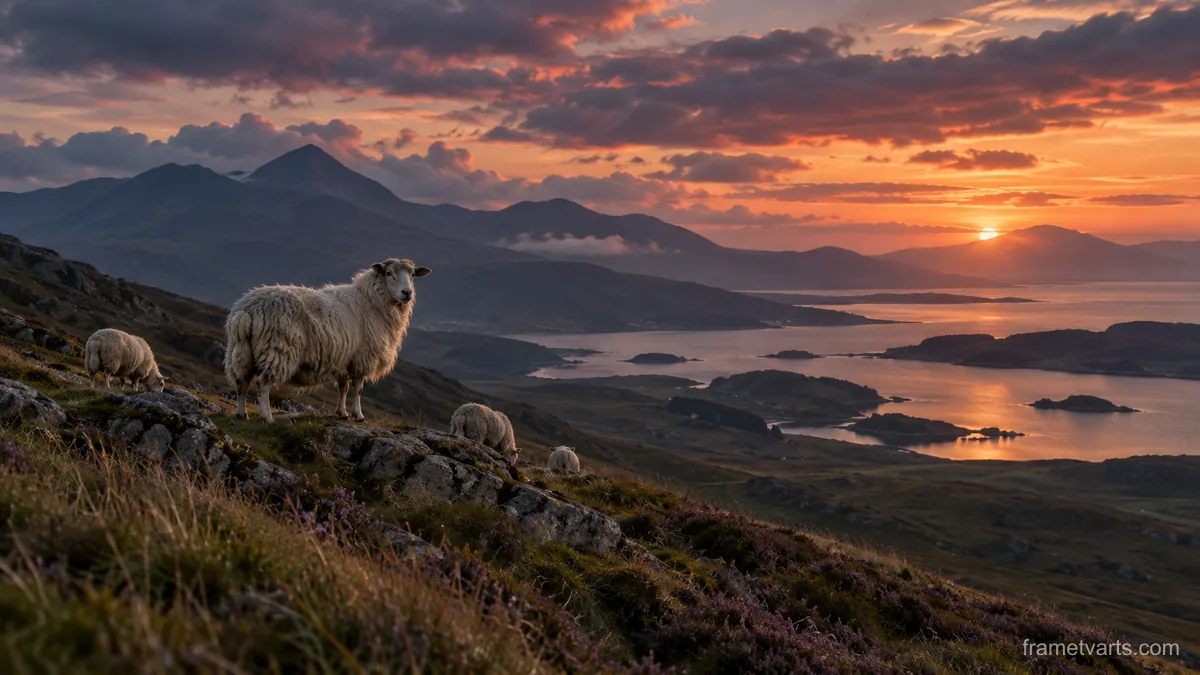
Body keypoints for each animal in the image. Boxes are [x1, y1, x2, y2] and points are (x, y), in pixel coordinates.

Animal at [224, 258, 431, 424]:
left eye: (413, 275)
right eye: (389, 273)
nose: (407, 293)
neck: (372, 301)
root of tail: (246, 310)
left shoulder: (345, 358)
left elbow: (343, 387)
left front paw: (342, 413)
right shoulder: (363, 357)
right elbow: (357, 389)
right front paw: (358, 415)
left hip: (242, 350)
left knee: (242, 382)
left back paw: (241, 414)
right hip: (278, 349)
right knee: (263, 384)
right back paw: (267, 417)